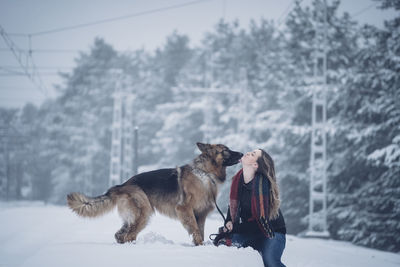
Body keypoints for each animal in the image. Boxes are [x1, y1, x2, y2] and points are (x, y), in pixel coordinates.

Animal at [67, 143, 242, 246]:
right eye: (225, 150)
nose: (241, 154)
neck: (205, 173)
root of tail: (121, 185)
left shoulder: (201, 213)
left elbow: (200, 231)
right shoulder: (185, 209)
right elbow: (195, 230)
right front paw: (199, 244)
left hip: (135, 216)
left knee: (119, 235)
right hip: (144, 212)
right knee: (128, 235)